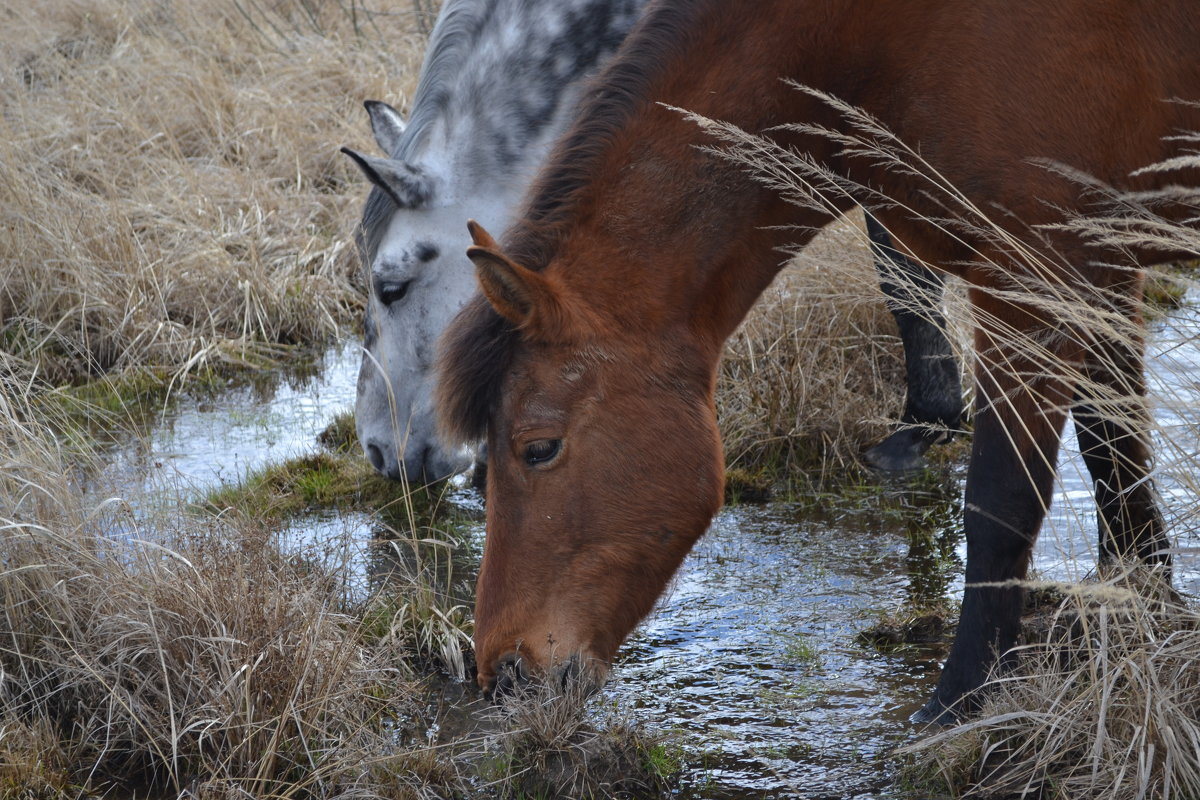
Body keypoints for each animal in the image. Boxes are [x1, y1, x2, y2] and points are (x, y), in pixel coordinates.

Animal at [436, 0, 1195, 724]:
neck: (879, 42)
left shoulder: (1033, 280)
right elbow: (1116, 451)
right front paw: (1145, 595)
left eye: (538, 449)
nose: (503, 673)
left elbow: (1002, 501)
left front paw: (961, 699)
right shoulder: (1098, 270)